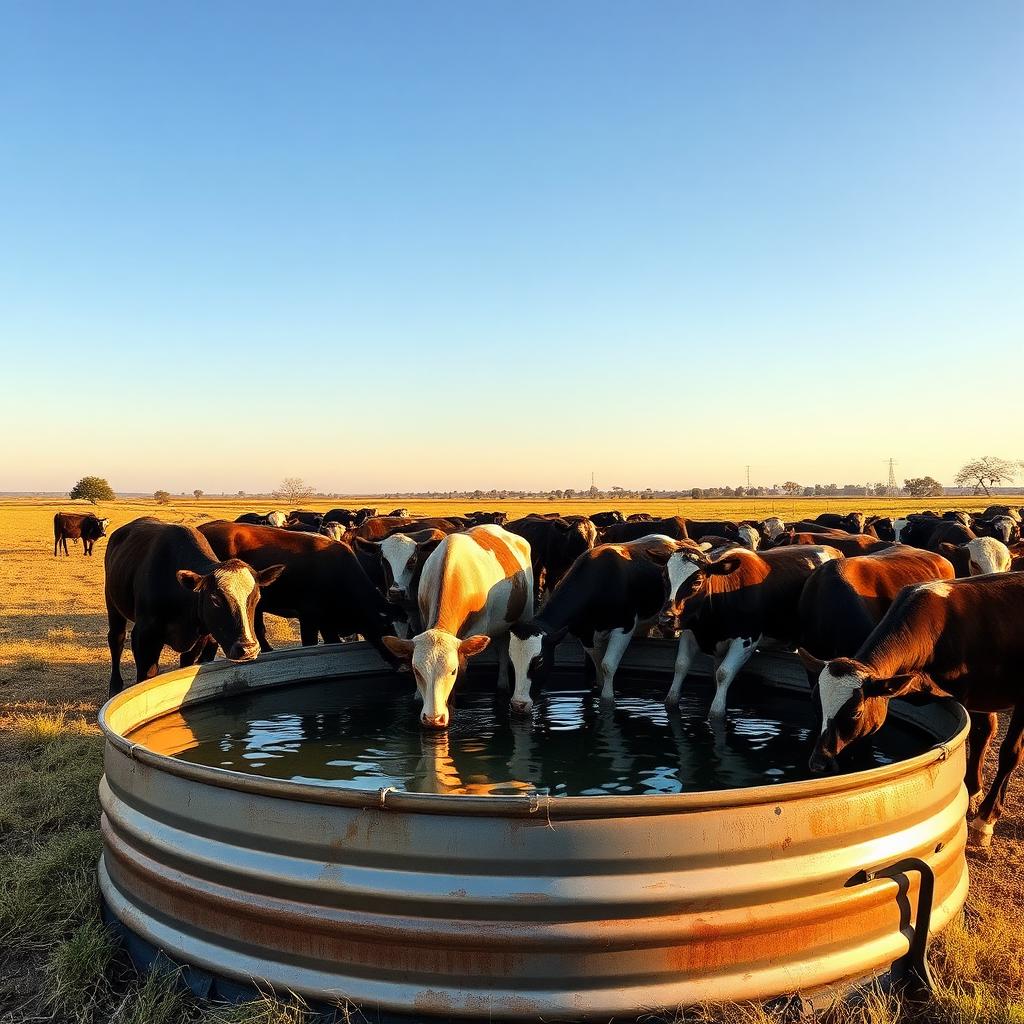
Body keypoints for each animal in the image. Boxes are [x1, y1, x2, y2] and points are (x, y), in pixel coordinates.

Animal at [104, 518, 284, 696]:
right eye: (215, 599)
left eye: (257, 598)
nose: (248, 649)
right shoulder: (144, 636)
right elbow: (146, 677)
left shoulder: (198, 638)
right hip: (112, 604)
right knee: (116, 639)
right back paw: (114, 686)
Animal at [508, 536, 695, 713]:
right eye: (510, 661)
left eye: (538, 661)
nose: (518, 705)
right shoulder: (585, 633)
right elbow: (598, 665)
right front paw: (598, 689)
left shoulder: (624, 626)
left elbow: (607, 665)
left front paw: (607, 700)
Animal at [662, 544, 841, 716]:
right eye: (664, 577)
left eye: (697, 581)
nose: (665, 619)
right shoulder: (690, 632)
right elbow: (681, 666)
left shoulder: (746, 639)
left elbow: (723, 674)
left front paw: (717, 711)